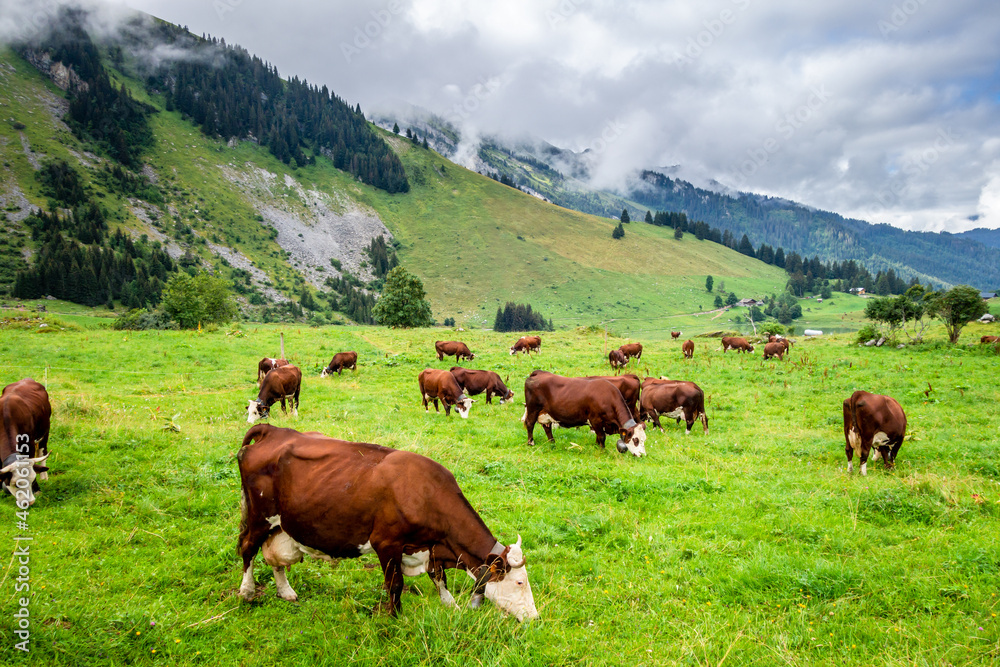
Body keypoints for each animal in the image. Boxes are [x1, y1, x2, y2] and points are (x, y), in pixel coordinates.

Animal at [0, 378, 51, 508]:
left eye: (32, 480)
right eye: (16, 484)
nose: (30, 502)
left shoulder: (30, 444)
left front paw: (37, 489)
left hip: (45, 431)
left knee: (42, 451)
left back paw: (44, 476)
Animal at [236, 426, 540, 624]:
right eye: (520, 582)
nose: (535, 618)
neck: (426, 492)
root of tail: (273, 430)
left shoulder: (431, 547)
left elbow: (439, 577)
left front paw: (451, 606)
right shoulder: (386, 543)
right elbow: (395, 584)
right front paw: (395, 618)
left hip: (280, 525)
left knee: (275, 558)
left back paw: (286, 592)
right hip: (260, 516)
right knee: (248, 548)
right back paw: (247, 592)